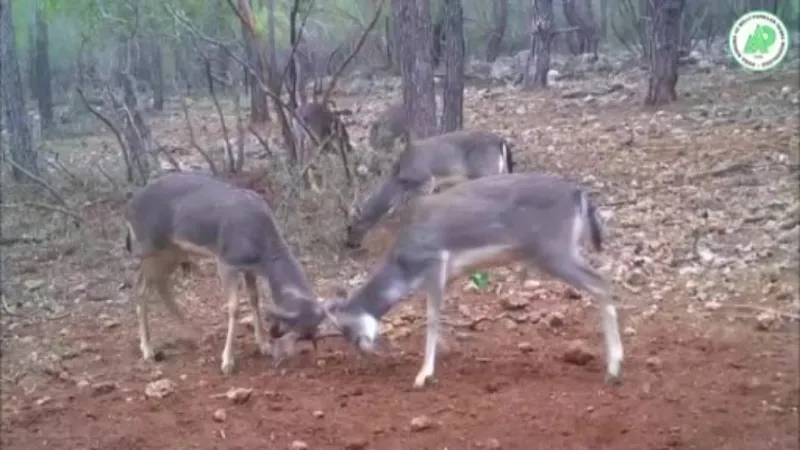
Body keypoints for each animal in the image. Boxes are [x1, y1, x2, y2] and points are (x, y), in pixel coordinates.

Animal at [125, 171, 324, 374]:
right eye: (297, 331)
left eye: (313, 329)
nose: (311, 343)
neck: (262, 253)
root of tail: (128, 209)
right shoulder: (226, 261)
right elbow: (234, 307)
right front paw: (227, 361)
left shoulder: (249, 268)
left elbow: (254, 298)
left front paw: (263, 345)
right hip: (148, 247)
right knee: (141, 287)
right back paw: (148, 350)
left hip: (173, 251)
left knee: (160, 283)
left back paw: (192, 333)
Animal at [320, 171, 624, 388]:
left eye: (345, 328)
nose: (364, 350)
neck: (405, 266)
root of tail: (579, 195)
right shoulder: (449, 274)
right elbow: (440, 315)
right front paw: (447, 351)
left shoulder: (435, 261)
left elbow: (432, 318)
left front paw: (423, 375)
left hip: (554, 250)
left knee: (601, 283)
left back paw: (613, 369)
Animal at [346, 130, 516, 250]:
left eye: (351, 227)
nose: (350, 244)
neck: (399, 177)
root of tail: (500, 141)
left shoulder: (426, 178)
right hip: (499, 169)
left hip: (485, 170)